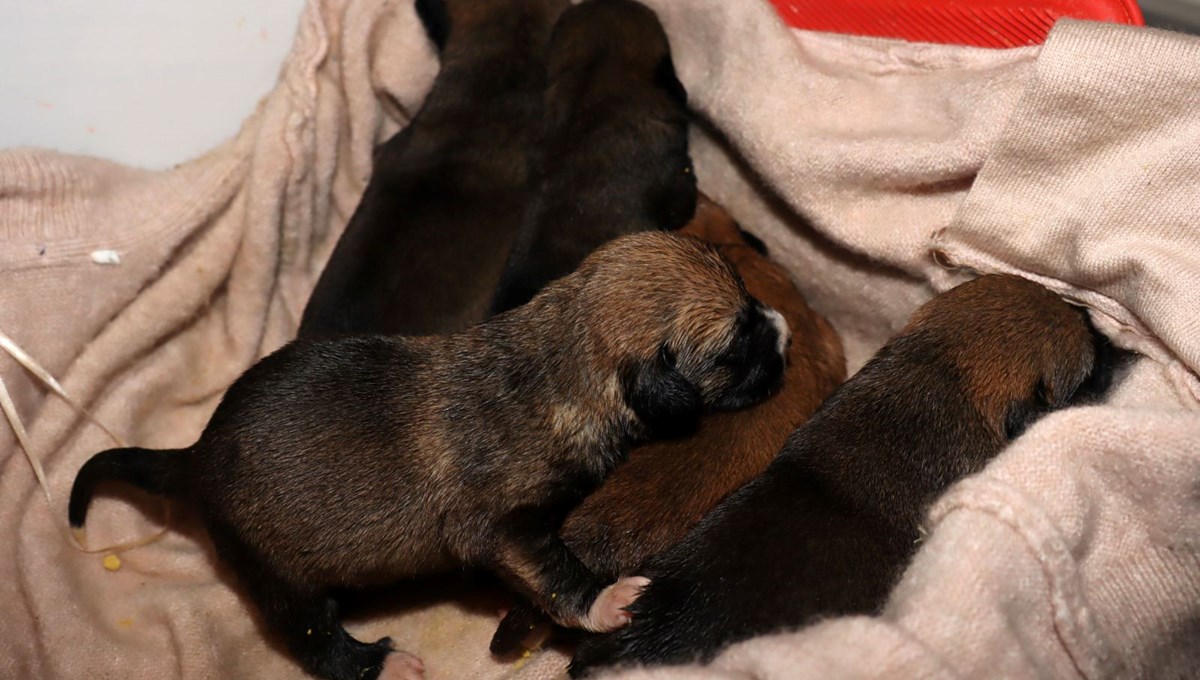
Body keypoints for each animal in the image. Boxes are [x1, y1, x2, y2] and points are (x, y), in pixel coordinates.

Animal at [70, 231, 792, 680]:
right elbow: (554, 569)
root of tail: (196, 456)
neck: (563, 356)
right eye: (734, 347)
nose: (784, 329)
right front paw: (606, 601)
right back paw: (378, 662)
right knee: (313, 640)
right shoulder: (503, 529)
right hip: (276, 577)